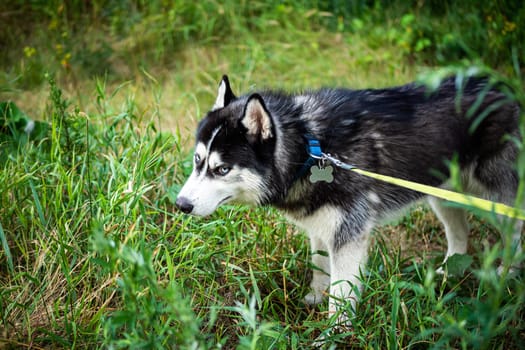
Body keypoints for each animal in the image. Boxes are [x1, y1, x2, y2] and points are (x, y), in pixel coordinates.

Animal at [176, 75, 520, 324]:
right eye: (197, 160)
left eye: (222, 169)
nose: (181, 205)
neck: (309, 148)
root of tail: (500, 84)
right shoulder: (320, 226)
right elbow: (319, 267)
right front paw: (314, 298)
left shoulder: (348, 234)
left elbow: (341, 295)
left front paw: (332, 334)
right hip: (441, 193)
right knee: (459, 233)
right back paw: (449, 273)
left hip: (493, 197)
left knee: (516, 230)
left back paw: (507, 275)